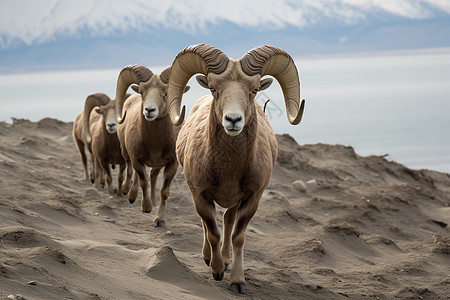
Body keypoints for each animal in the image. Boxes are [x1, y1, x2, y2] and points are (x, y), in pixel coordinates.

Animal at [115, 64, 191, 226]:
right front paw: (146, 208)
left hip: (156, 165)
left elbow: (164, 191)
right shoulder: (137, 159)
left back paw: (152, 202)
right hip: (126, 153)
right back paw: (129, 194)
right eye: (142, 92)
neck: (155, 143)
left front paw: (159, 219)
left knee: (152, 175)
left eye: (165, 93)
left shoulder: (172, 164)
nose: (149, 110)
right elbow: (143, 182)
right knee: (131, 170)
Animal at [167, 44, 304, 292]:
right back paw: (210, 258)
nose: (233, 120)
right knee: (208, 226)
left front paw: (237, 281)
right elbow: (212, 232)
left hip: (234, 202)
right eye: (214, 88)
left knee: (228, 220)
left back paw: (226, 259)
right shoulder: (200, 195)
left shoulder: (252, 198)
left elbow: (237, 237)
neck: (228, 170)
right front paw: (217, 270)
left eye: (254, 90)